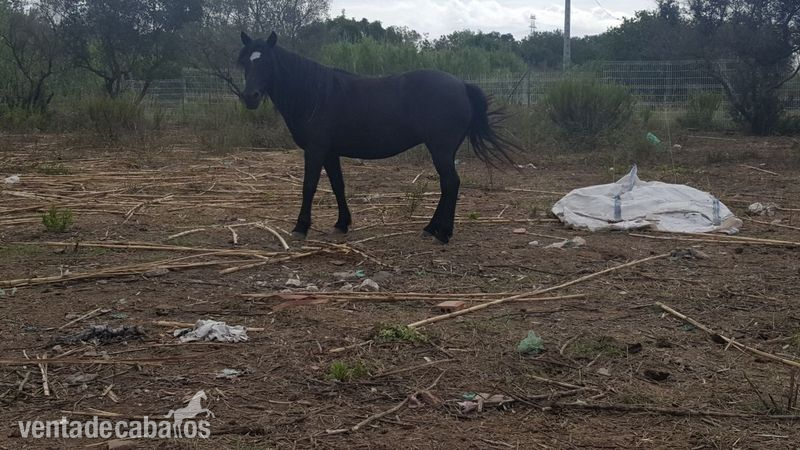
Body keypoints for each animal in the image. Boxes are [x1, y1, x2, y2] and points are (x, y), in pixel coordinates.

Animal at [238, 31, 518, 244]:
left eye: (267, 62)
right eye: (245, 63)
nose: (250, 97)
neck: (315, 95)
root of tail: (461, 85)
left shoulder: (315, 150)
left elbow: (309, 186)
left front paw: (300, 227)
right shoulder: (330, 152)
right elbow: (338, 186)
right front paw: (342, 224)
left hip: (440, 149)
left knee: (451, 183)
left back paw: (443, 234)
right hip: (445, 151)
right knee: (447, 185)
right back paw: (430, 229)